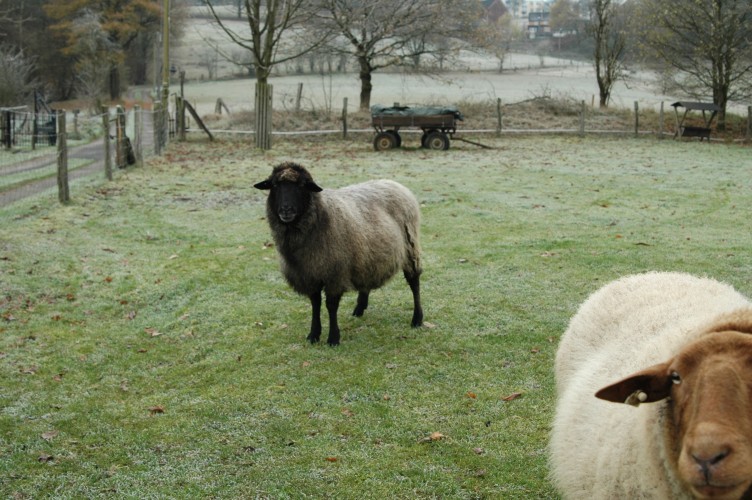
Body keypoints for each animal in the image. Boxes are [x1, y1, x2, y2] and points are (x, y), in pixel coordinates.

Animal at [254, 162, 423, 346]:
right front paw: (313, 335)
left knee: (414, 282)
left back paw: (417, 319)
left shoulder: (334, 273)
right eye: (275, 185)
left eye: (301, 185)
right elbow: (315, 304)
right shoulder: (309, 274)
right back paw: (359, 308)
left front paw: (333, 338)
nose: (286, 210)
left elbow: (331, 306)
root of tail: (395, 183)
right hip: (368, 254)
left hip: (410, 247)